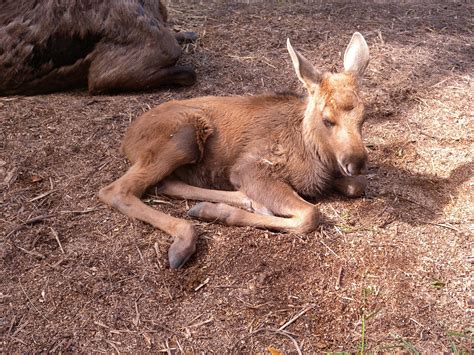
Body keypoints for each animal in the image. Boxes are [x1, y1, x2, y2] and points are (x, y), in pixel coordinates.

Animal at [100, 32, 372, 268]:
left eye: (364, 116)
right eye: (327, 119)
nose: (356, 162)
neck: (317, 155)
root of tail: (126, 140)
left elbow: (357, 185)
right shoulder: (249, 167)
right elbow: (310, 215)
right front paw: (223, 214)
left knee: (168, 184)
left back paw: (236, 203)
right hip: (182, 137)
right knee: (116, 190)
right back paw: (186, 238)